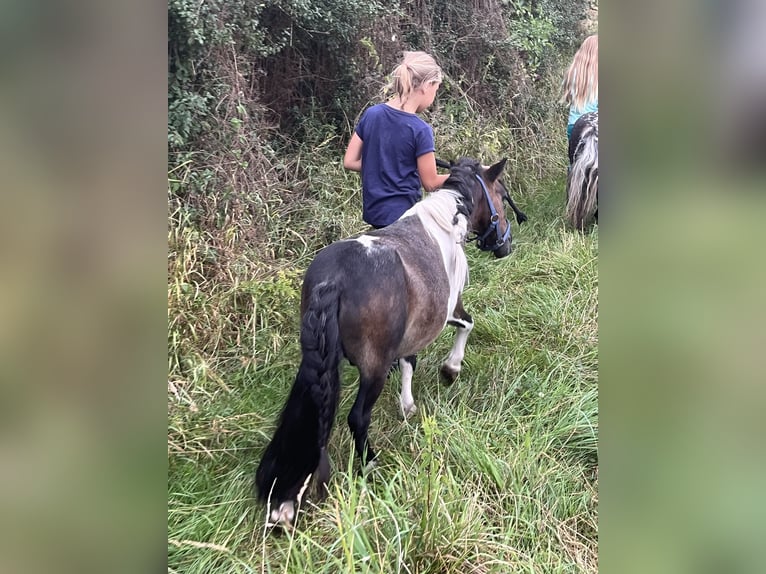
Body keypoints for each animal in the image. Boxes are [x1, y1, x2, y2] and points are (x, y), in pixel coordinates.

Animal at [255, 155, 524, 528]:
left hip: (318, 362)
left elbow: (409, 360)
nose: (506, 246)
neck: (447, 217)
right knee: (357, 417)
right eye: (502, 194)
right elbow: (466, 326)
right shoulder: (448, 310)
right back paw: (369, 462)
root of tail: (333, 280)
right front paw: (451, 368)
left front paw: (408, 405)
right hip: (374, 368)